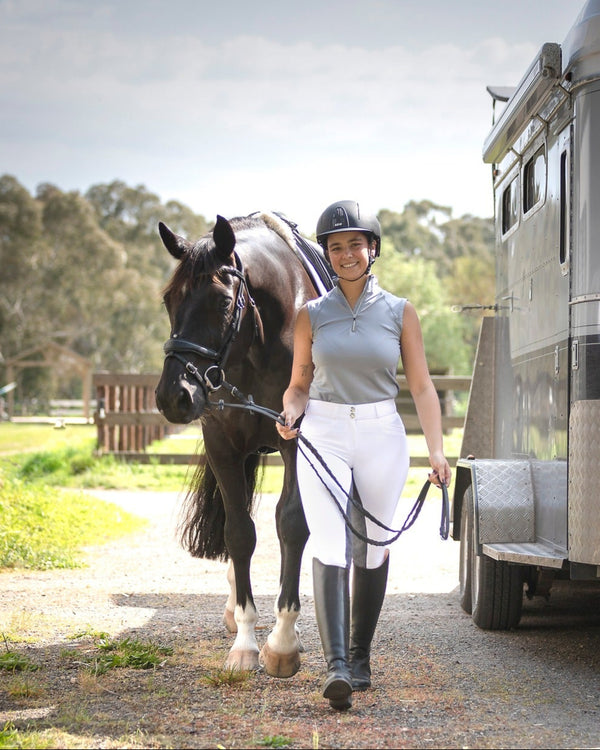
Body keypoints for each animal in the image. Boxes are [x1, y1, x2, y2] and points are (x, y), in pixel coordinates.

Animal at [154, 211, 333, 677]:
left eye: (220, 303)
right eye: (168, 301)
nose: (173, 395)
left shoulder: (295, 442)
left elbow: (292, 524)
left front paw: (283, 642)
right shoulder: (222, 445)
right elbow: (238, 532)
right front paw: (245, 643)